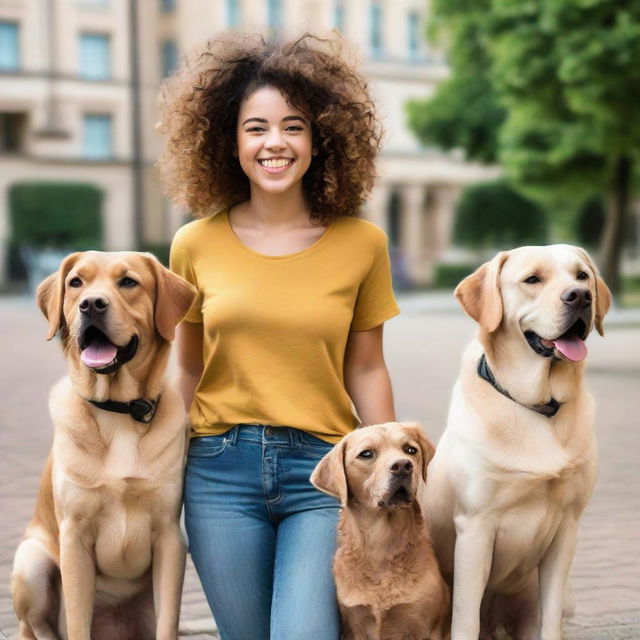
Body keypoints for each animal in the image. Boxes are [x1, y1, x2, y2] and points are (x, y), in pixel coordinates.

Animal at [10, 250, 195, 640]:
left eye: (128, 282)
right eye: (75, 282)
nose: (91, 304)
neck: (119, 411)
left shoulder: (170, 537)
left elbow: (167, 622)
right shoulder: (74, 537)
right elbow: (78, 621)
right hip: (32, 563)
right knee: (39, 627)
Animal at [310, 422, 450, 636]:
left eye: (411, 450)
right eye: (366, 454)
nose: (403, 466)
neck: (382, 543)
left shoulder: (426, 627)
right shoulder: (354, 624)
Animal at [422, 245, 612, 640]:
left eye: (582, 276)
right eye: (532, 279)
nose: (580, 296)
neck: (538, 406)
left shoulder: (567, 528)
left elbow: (550, 618)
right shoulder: (475, 528)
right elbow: (465, 619)